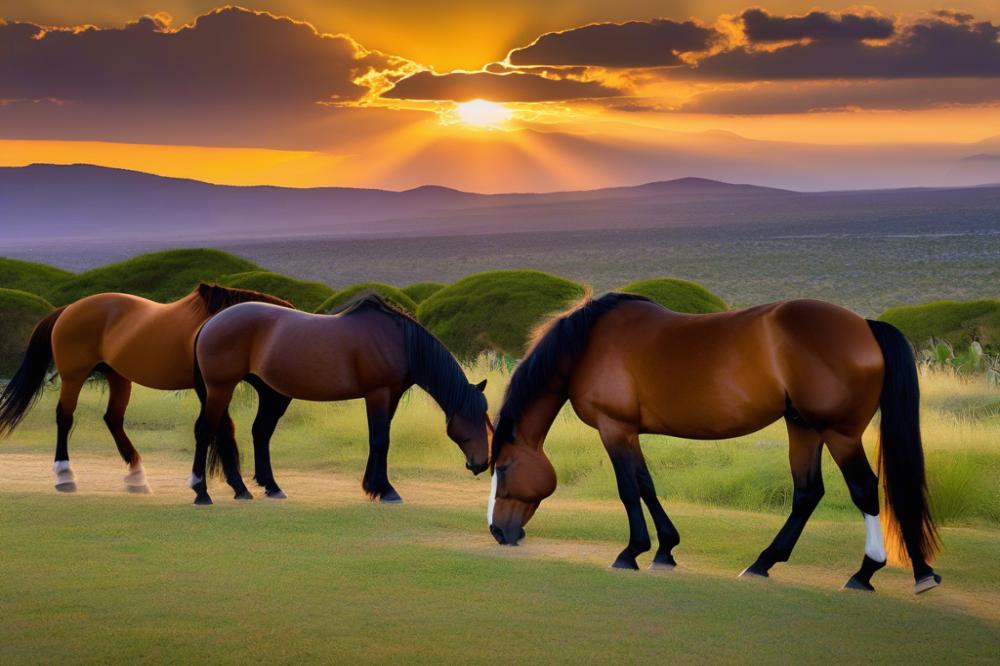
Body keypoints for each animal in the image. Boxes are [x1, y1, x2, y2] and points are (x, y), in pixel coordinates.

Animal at [0, 283, 293, 493]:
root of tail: (69, 309)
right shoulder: (210, 387)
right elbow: (223, 429)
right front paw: (235, 485)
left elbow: (221, 429)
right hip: (74, 376)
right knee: (65, 417)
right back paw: (64, 475)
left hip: (118, 377)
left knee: (113, 419)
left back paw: (137, 476)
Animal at [188, 294, 491, 505]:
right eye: (474, 419)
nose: (481, 464)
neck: (398, 340)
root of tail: (209, 323)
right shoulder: (378, 394)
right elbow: (380, 441)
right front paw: (385, 490)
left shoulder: (391, 396)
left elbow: (381, 441)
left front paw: (374, 486)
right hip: (220, 388)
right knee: (206, 431)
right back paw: (201, 492)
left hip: (271, 394)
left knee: (256, 432)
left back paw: (262, 488)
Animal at [487, 293, 941, 595]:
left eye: (504, 468)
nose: (497, 531)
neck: (588, 345)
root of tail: (865, 325)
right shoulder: (629, 431)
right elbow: (647, 485)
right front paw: (665, 550)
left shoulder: (613, 428)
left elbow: (629, 489)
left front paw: (631, 552)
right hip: (804, 428)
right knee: (808, 493)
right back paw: (764, 563)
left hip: (838, 433)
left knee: (864, 489)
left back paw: (866, 572)